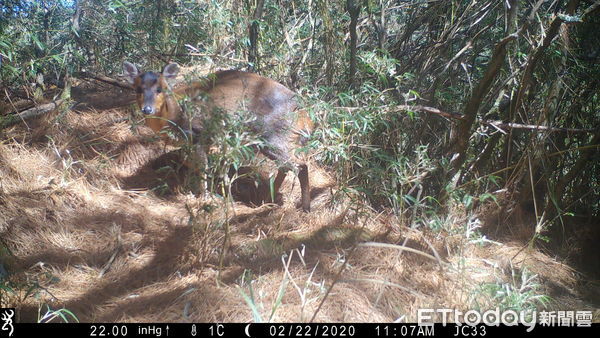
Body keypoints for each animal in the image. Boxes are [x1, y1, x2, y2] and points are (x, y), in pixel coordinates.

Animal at [120, 61, 312, 211]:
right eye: (138, 89)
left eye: (160, 89)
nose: (147, 109)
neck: (176, 117)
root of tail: (305, 115)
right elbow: (194, 164)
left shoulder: (200, 132)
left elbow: (203, 166)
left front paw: (204, 198)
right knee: (287, 166)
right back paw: (267, 199)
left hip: (272, 135)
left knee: (299, 165)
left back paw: (302, 207)